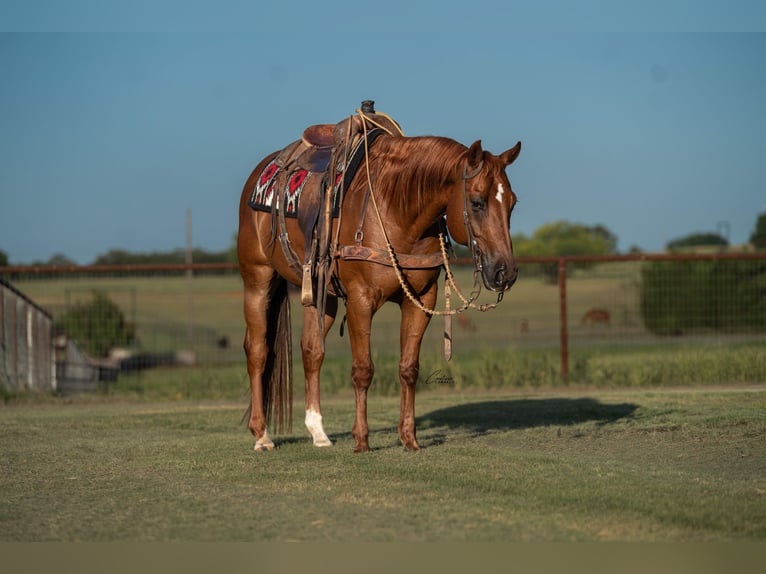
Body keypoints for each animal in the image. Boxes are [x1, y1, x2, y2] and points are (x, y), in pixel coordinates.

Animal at [237, 105, 522, 452]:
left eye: (512, 203)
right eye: (477, 203)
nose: (504, 272)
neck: (397, 209)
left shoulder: (422, 300)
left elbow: (409, 368)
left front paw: (409, 438)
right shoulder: (361, 299)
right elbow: (363, 369)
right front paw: (362, 439)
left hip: (321, 294)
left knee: (312, 350)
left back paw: (318, 432)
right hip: (257, 279)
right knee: (257, 350)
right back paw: (261, 434)